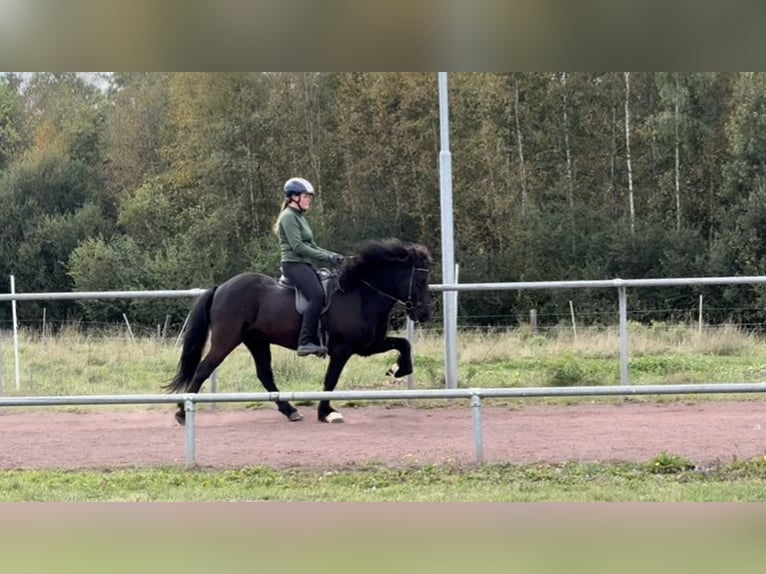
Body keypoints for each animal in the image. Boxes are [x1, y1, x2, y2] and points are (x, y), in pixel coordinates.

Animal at [165, 238, 432, 424]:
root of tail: (221, 287)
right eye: (421, 281)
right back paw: (182, 413)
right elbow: (331, 379)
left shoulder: (368, 345)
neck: (360, 294)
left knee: (265, 374)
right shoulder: (343, 350)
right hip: (226, 340)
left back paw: (290, 410)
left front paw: (397, 370)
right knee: (203, 369)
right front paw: (326, 412)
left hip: (256, 341)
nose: (424, 314)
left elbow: (404, 344)